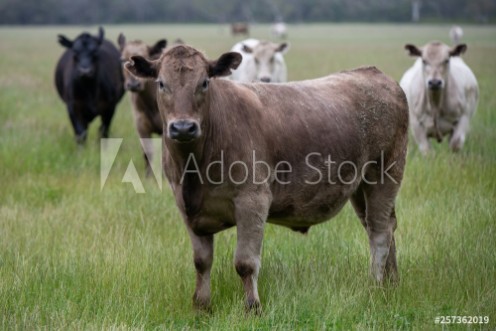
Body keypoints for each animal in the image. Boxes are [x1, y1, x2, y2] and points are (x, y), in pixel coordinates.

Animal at [117, 33, 168, 176]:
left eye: (147, 58)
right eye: (122, 60)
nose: (134, 84)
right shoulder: (141, 126)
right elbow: (147, 151)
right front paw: (149, 176)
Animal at [126, 45, 408, 312]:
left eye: (204, 82)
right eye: (161, 83)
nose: (183, 127)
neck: (194, 167)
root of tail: (372, 73)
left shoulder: (253, 200)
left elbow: (245, 263)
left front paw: (252, 307)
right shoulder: (187, 207)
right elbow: (201, 261)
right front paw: (201, 307)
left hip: (384, 175)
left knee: (379, 232)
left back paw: (375, 286)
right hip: (360, 188)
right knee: (384, 225)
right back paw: (392, 282)